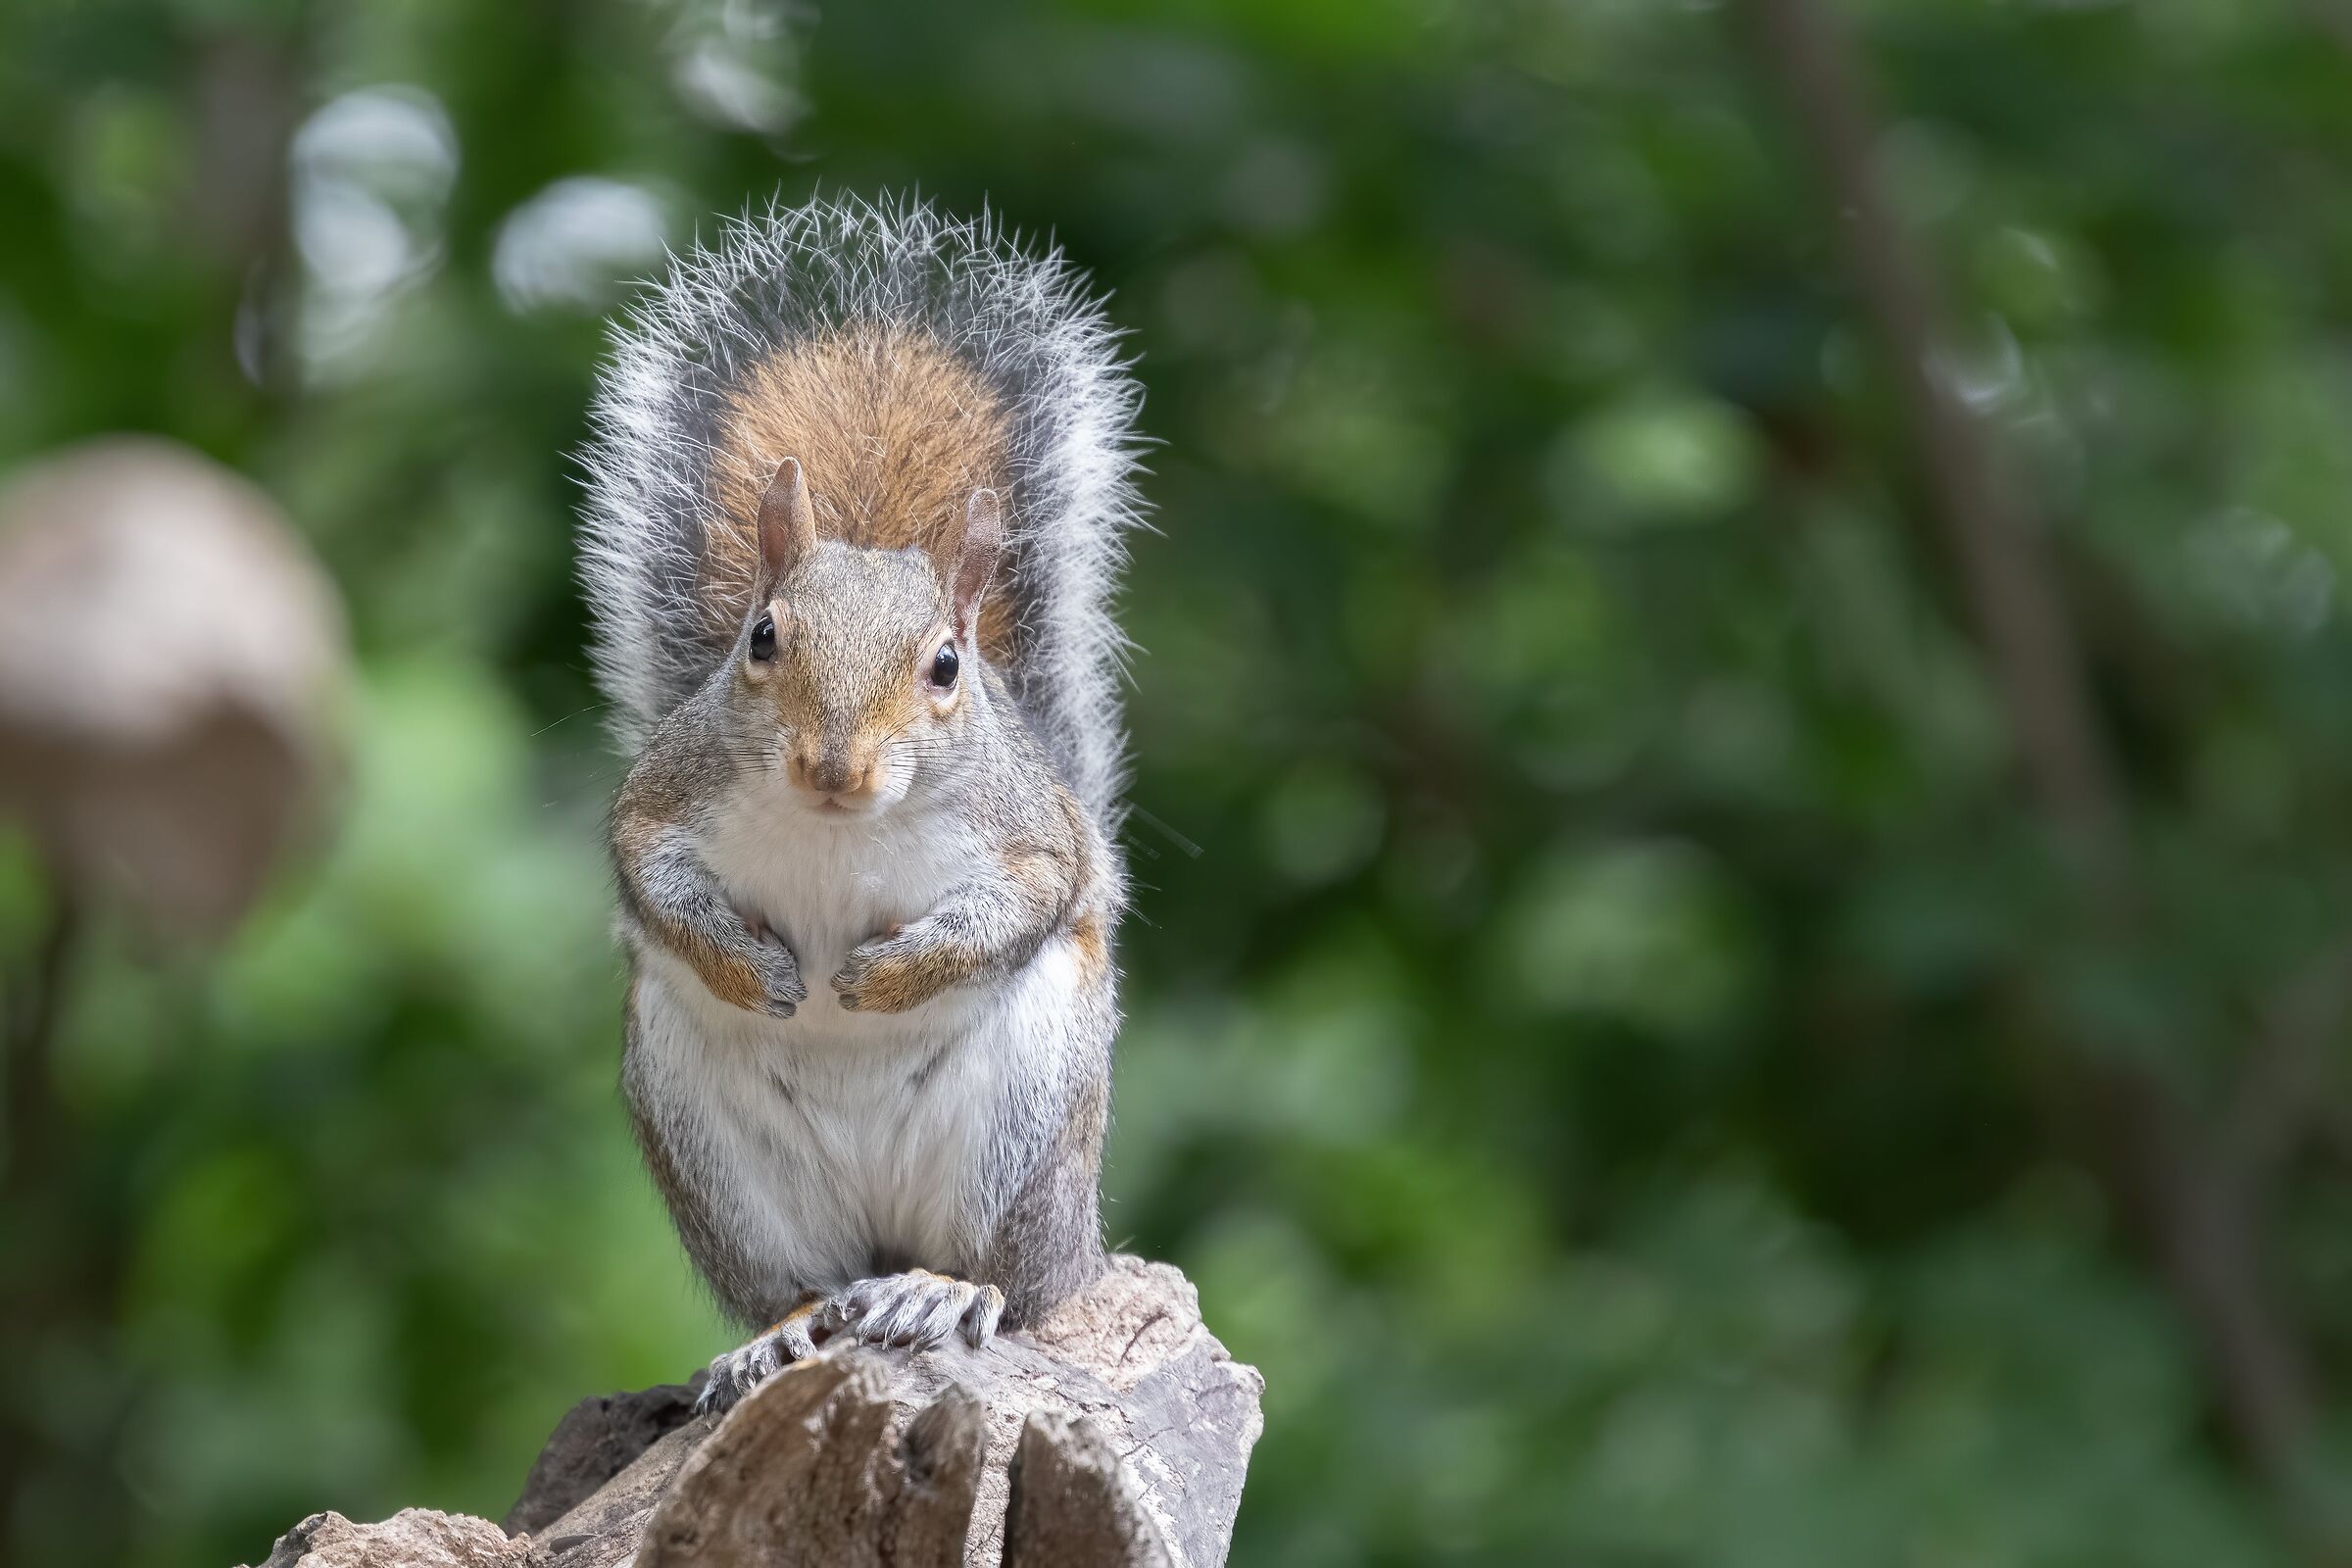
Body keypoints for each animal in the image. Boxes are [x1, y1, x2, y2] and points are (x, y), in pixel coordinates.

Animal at [575, 196, 1144, 1413]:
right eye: (762, 637)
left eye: (946, 665)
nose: (833, 766)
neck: (838, 830)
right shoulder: (663, 797)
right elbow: (648, 872)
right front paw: (760, 968)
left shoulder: (1031, 836)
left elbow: (1028, 898)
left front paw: (884, 977)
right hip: (712, 1153)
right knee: (797, 1276)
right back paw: (779, 1331)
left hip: (1024, 1125)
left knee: (1007, 1272)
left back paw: (945, 1290)